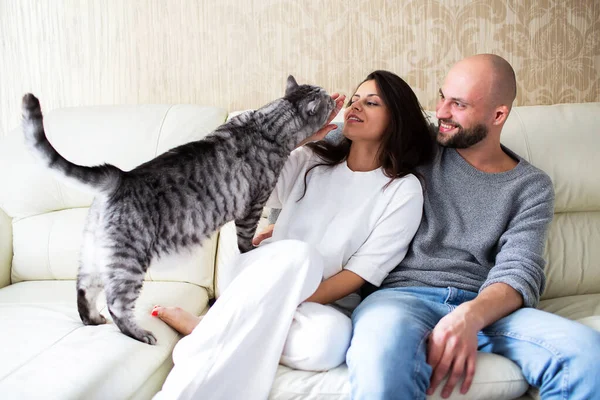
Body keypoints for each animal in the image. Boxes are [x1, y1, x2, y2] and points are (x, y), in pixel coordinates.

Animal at [21, 76, 336, 346]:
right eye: (326, 100)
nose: (335, 99)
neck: (265, 123)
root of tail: (120, 177)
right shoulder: (253, 204)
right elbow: (245, 239)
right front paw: (252, 250)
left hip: (95, 255)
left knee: (84, 290)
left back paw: (93, 320)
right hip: (129, 260)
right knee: (116, 303)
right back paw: (139, 333)